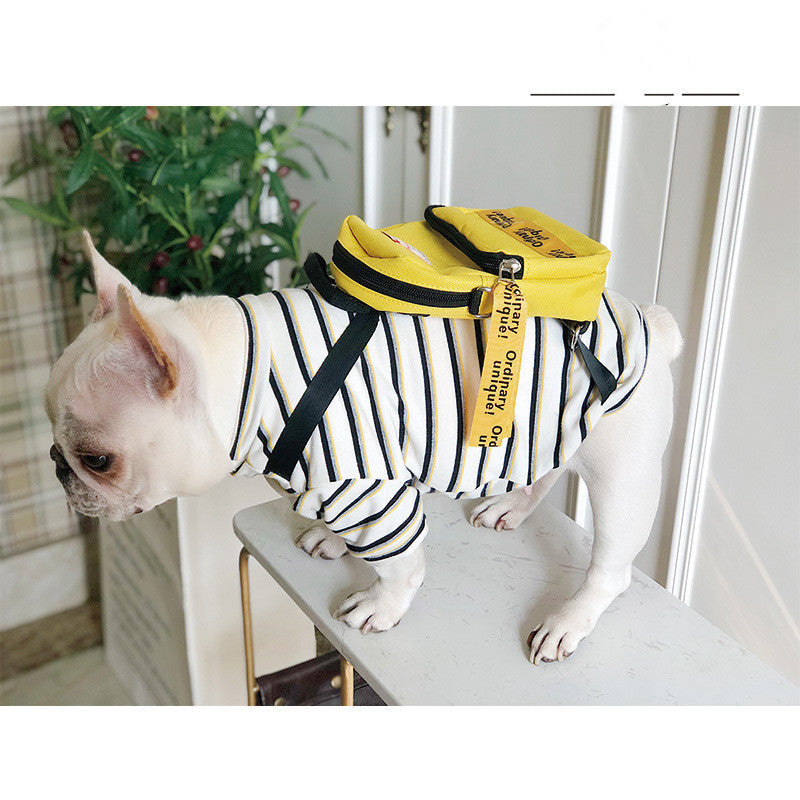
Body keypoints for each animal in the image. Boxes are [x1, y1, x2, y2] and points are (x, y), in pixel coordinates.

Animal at [45, 234, 680, 664]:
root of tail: (648, 319)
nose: (57, 469)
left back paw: (568, 620)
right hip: (544, 429)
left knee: (611, 566)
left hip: (623, 473)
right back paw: (512, 507)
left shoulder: (367, 486)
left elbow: (400, 562)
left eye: (97, 460)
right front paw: (332, 538)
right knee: (546, 468)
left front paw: (382, 606)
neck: (252, 380)